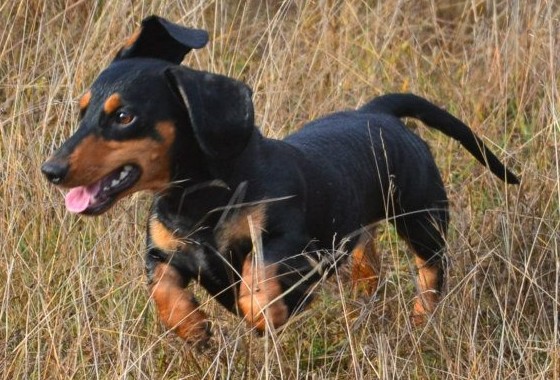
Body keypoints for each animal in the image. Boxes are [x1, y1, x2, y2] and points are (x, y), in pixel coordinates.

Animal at [41, 14, 520, 342]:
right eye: (82, 112)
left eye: (124, 116)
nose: (51, 171)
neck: (197, 200)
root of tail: (377, 111)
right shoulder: (161, 254)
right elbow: (165, 293)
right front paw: (195, 329)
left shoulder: (284, 240)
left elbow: (260, 281)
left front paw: (265, 312)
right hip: (361, 230)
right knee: (367, 263)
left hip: (422, 221)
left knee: (430, 275)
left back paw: (420, 322)